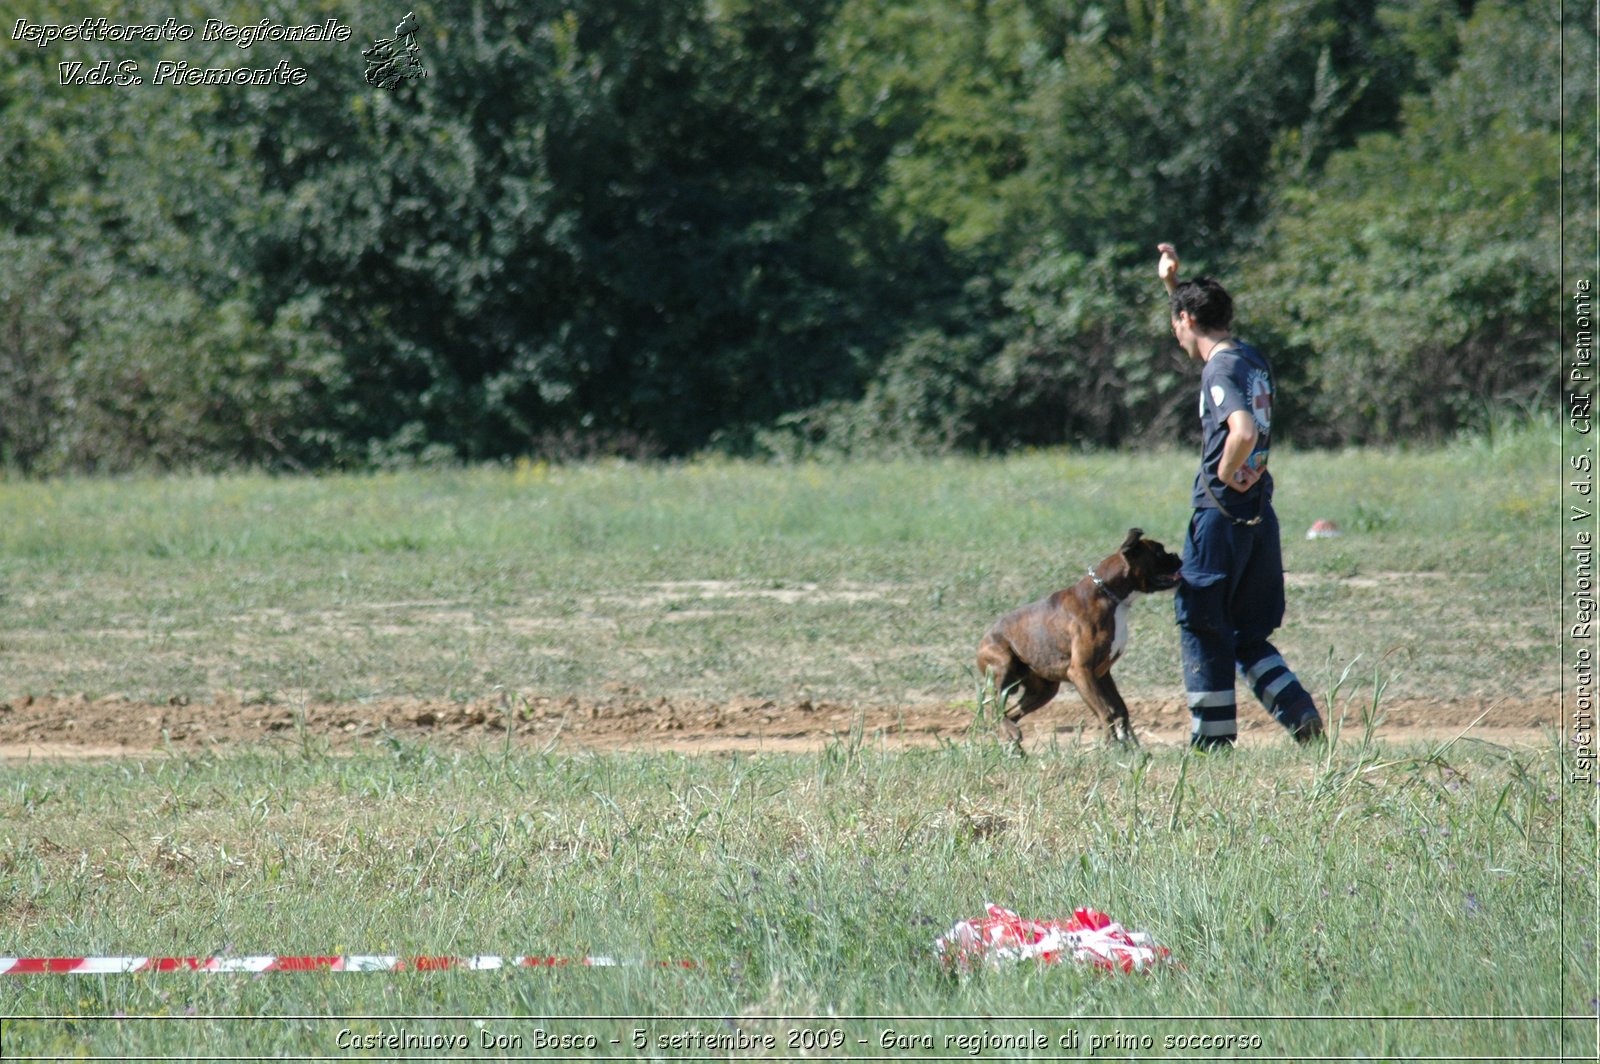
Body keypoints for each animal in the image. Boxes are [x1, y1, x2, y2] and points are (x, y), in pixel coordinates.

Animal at [972, 528, 1190, 745]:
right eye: (1159, 551)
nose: (1177, 556)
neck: (1108, 595)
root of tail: (983, 639)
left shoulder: (1102, 674)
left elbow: (1120, 709)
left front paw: (1125, 745)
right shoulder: (1081, 672)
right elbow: (1105, 713)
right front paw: (1111, 747)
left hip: (1044, 691)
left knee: (1011, 713)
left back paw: (1013, 743)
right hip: (1003, 664)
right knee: (996, 708)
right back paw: (1010, 732)